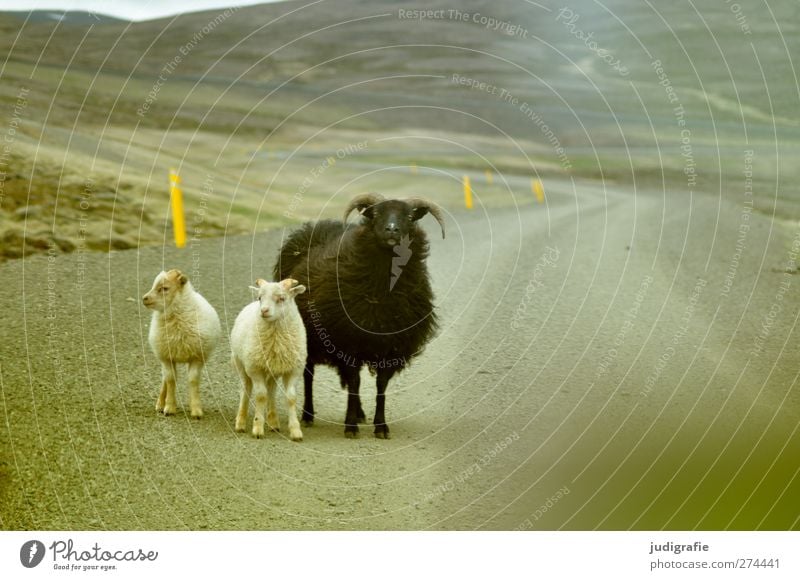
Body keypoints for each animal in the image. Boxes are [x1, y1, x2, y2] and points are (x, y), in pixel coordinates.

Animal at [142, 268, 220, 416]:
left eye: (164, 288)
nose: (144, 298)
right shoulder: (167, 357)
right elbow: (171, 380)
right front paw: (169, 408)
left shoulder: (196, 357)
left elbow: (193, 380)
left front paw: (196, 409)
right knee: (166, 379)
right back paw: (160, 404)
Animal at [233, 276, 308, 440]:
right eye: (260, 298)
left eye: (281, 298)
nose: (264, 310)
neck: (276, 339)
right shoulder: (255, 368)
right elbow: (261, 396)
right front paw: (257, 428)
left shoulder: (294, 370)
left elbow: (291, 397)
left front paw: (296, 431)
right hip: (239, 363)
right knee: (245, 390)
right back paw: (240, 423)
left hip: (274, 369)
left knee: (271, 390)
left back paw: (274, 422)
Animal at [276, 193, 446, 438]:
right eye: (375, 214)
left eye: (409, 217)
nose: (392, 229)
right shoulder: (349, 341)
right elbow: (355, 382)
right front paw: (350, 426)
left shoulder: (390, 346)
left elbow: (380, 386)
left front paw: (380, 426)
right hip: (306, 335)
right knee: (309, 375)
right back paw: (308, 415)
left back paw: (359, 412)